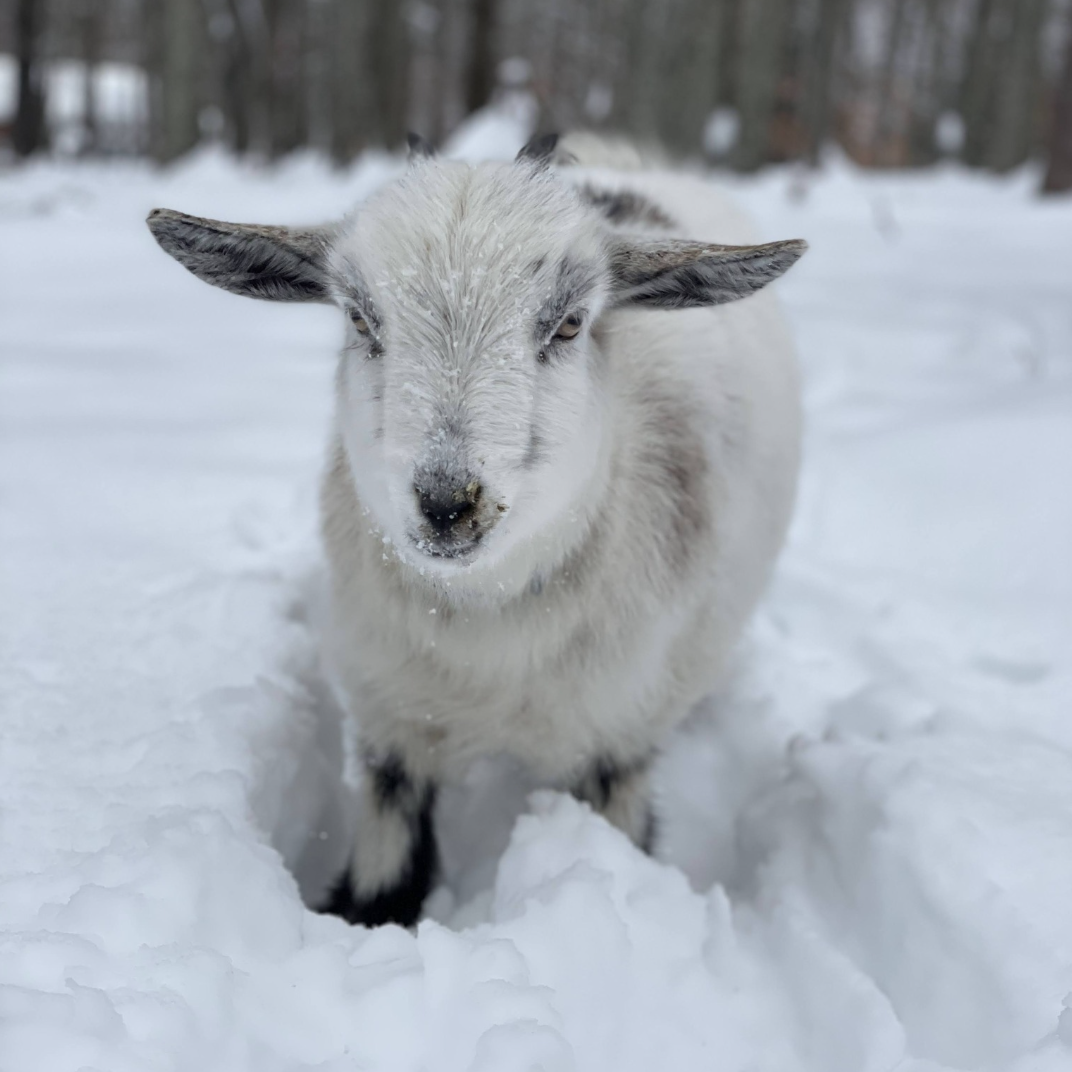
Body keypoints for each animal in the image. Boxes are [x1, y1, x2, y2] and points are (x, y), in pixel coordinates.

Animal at [147, 133, 806, 927]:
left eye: (571, 322)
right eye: (360, 319)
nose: (446, 503)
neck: (492, 628)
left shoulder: (618, 739)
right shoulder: (392, 723)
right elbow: (383, 888)